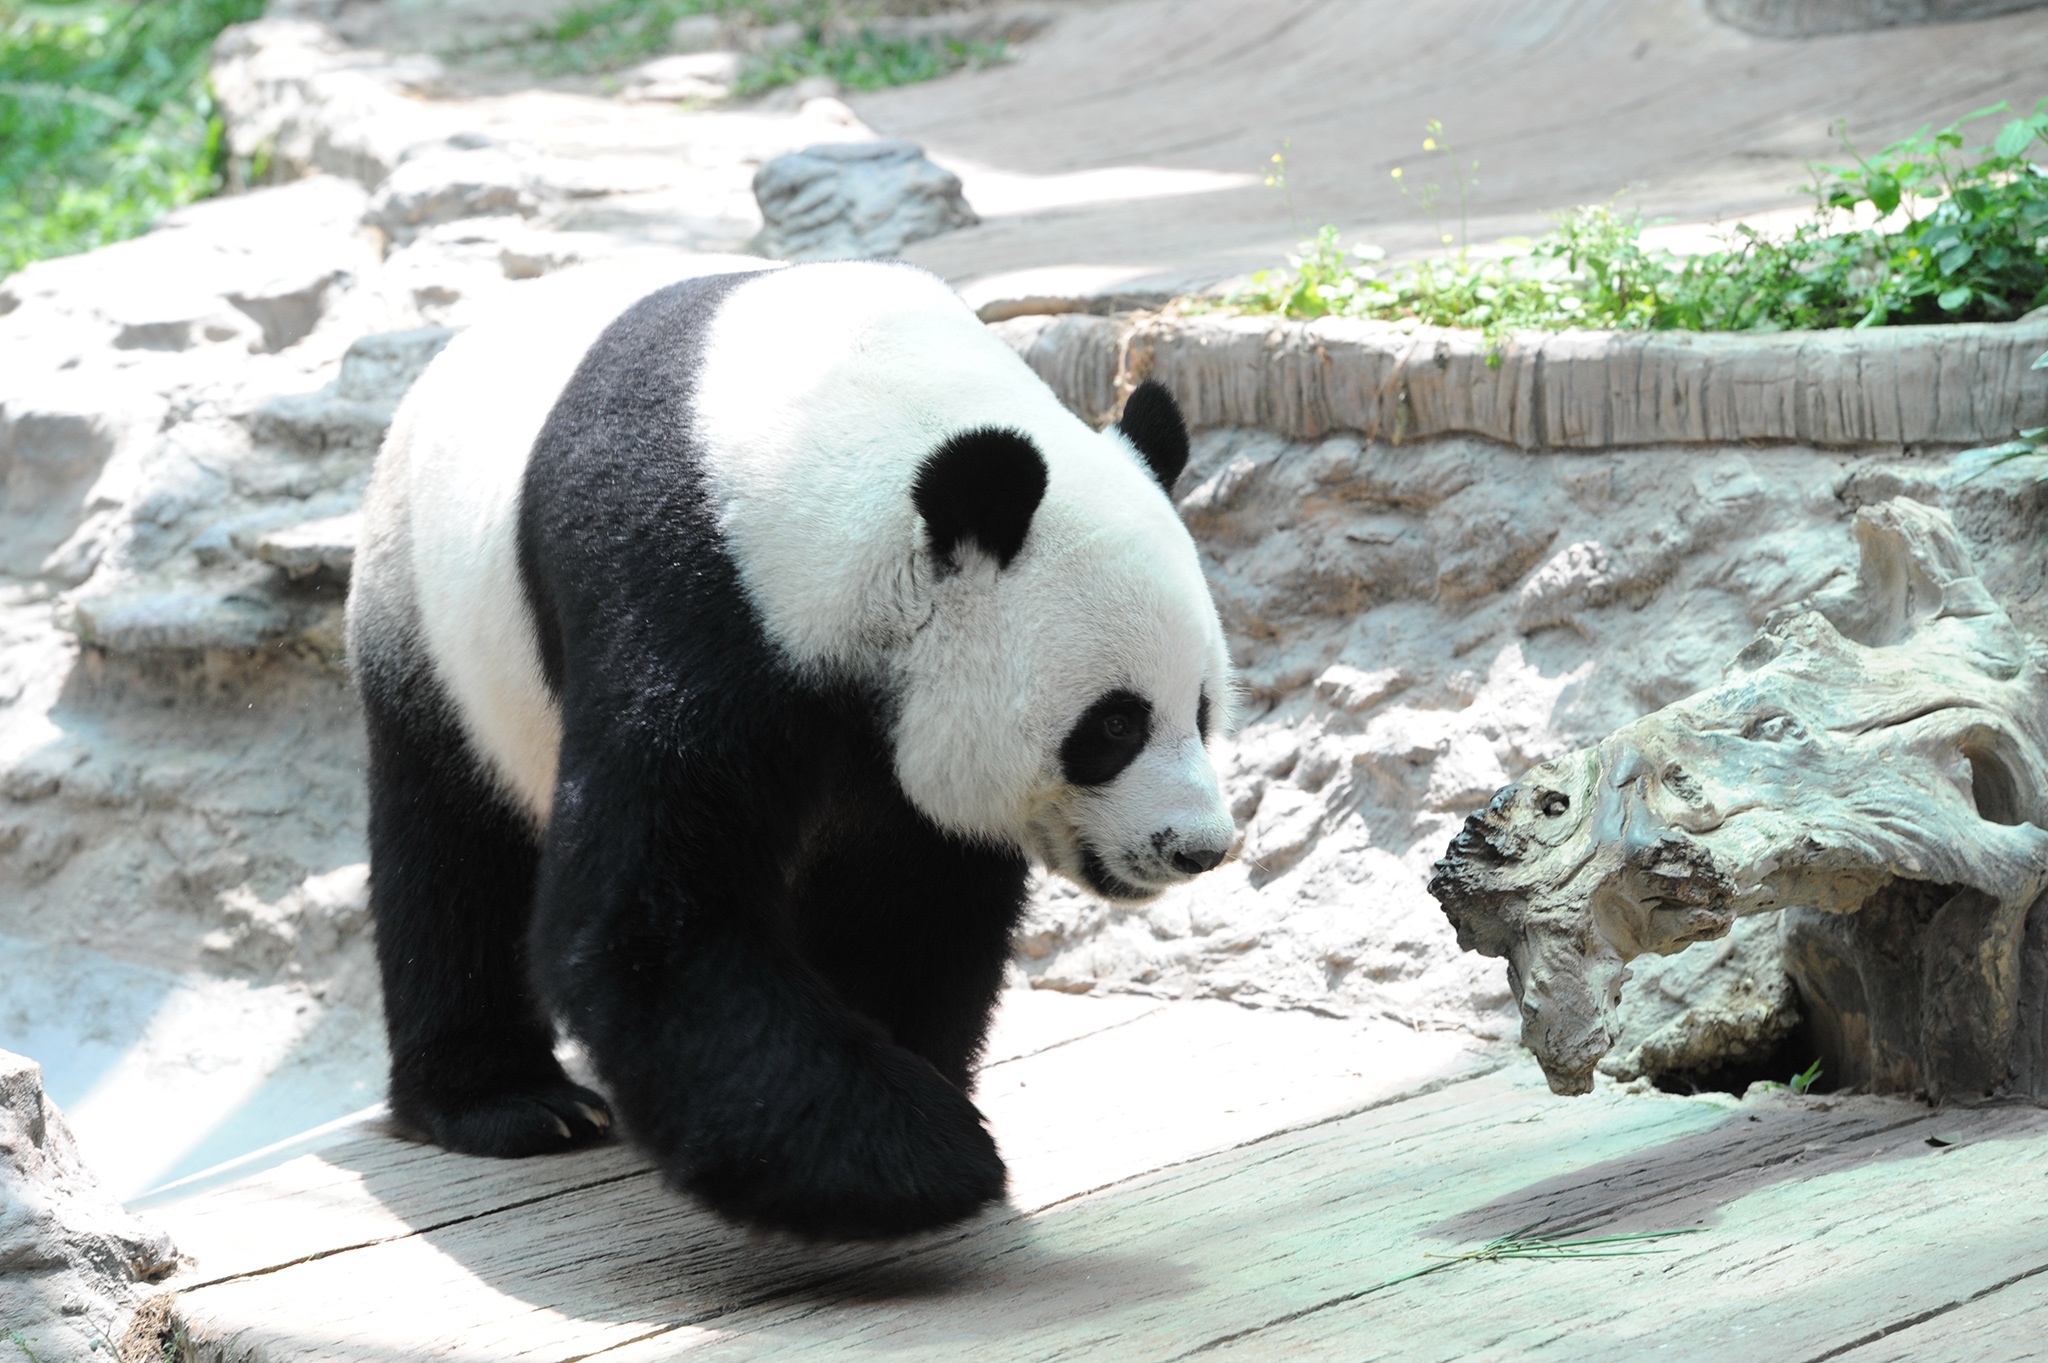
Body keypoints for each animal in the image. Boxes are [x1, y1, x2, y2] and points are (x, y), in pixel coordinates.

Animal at [345, 259, 1236, 1239]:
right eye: (1114, 726)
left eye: (1201, 708)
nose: (1199, 847)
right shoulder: (687, 601)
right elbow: (655, 919)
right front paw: (916, 1160)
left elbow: (911, 902)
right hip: (436, 629)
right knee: (451, 853)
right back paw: (511, 1102)